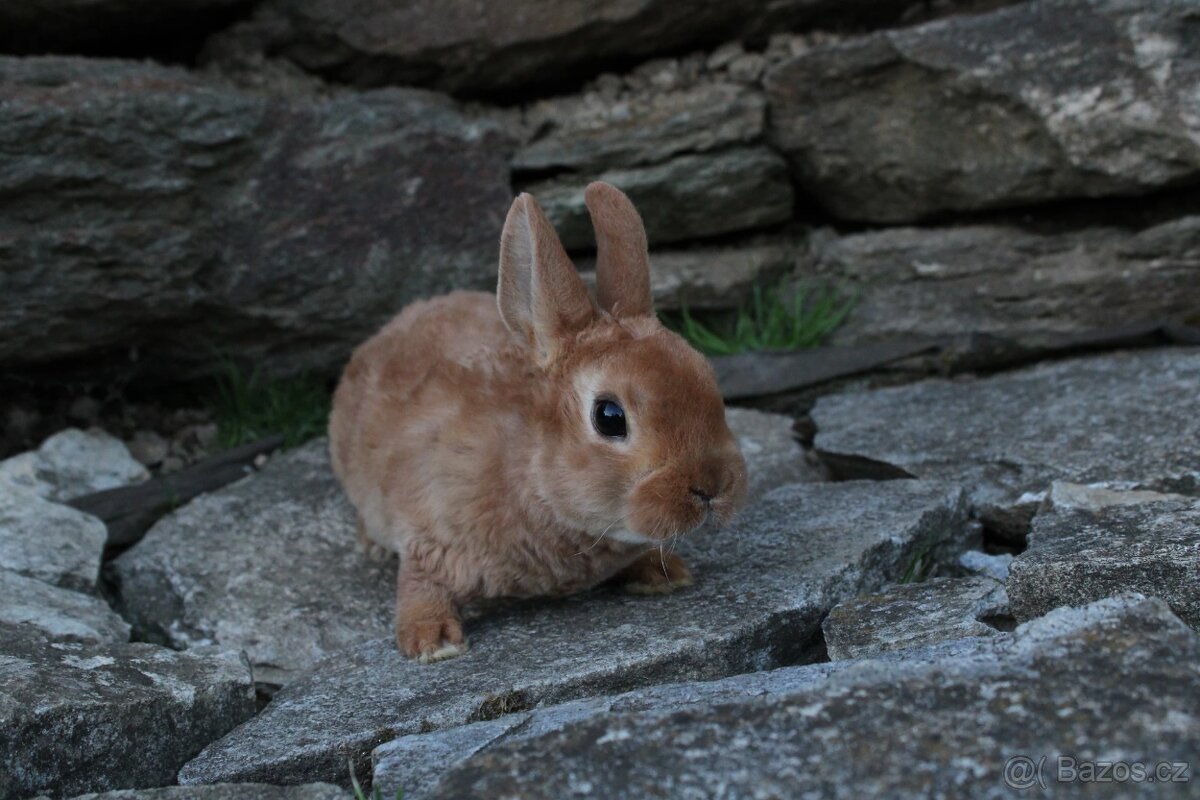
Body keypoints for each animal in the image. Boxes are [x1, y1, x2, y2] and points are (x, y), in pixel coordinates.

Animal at [324, 183, 744, 662]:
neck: (528, 472)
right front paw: (433, 643)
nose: (712, 487)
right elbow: (420, 582)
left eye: (708, 379)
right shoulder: (429, 532)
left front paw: (665, 575)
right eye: (609, 417)